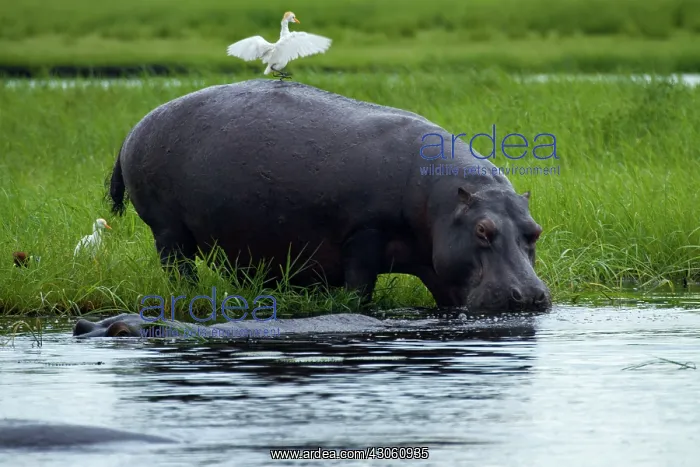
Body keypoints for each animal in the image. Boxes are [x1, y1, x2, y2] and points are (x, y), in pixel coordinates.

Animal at [108, 79, 551, 313]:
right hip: (167, 230)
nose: (531, 295)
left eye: (536, 231)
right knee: (177, 266)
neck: (444, 204)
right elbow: (359, 288)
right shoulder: (363, 235)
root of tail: (132, 130)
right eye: (482, 230)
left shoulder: (438, 264)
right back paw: (190, 295)